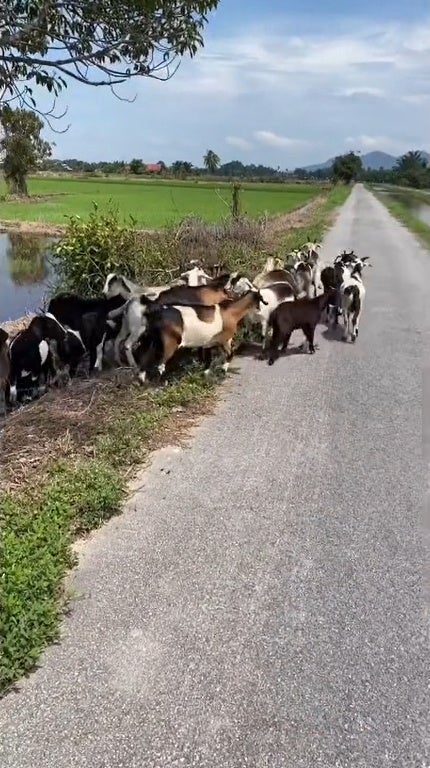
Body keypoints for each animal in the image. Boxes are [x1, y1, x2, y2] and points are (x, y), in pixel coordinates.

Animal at [134, 288, 268, 384]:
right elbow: (230, 354)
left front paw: (206, 375)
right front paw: (223, 370)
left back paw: (142, 382)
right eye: (260, 299)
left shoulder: (209, 343)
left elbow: (209, 361)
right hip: (169, 343)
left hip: (151, 341)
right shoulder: (222, 340)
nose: (261, 309)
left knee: (144, 360)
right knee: (160, 365)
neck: (231, 312)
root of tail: (156, 313)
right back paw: (162, 384)